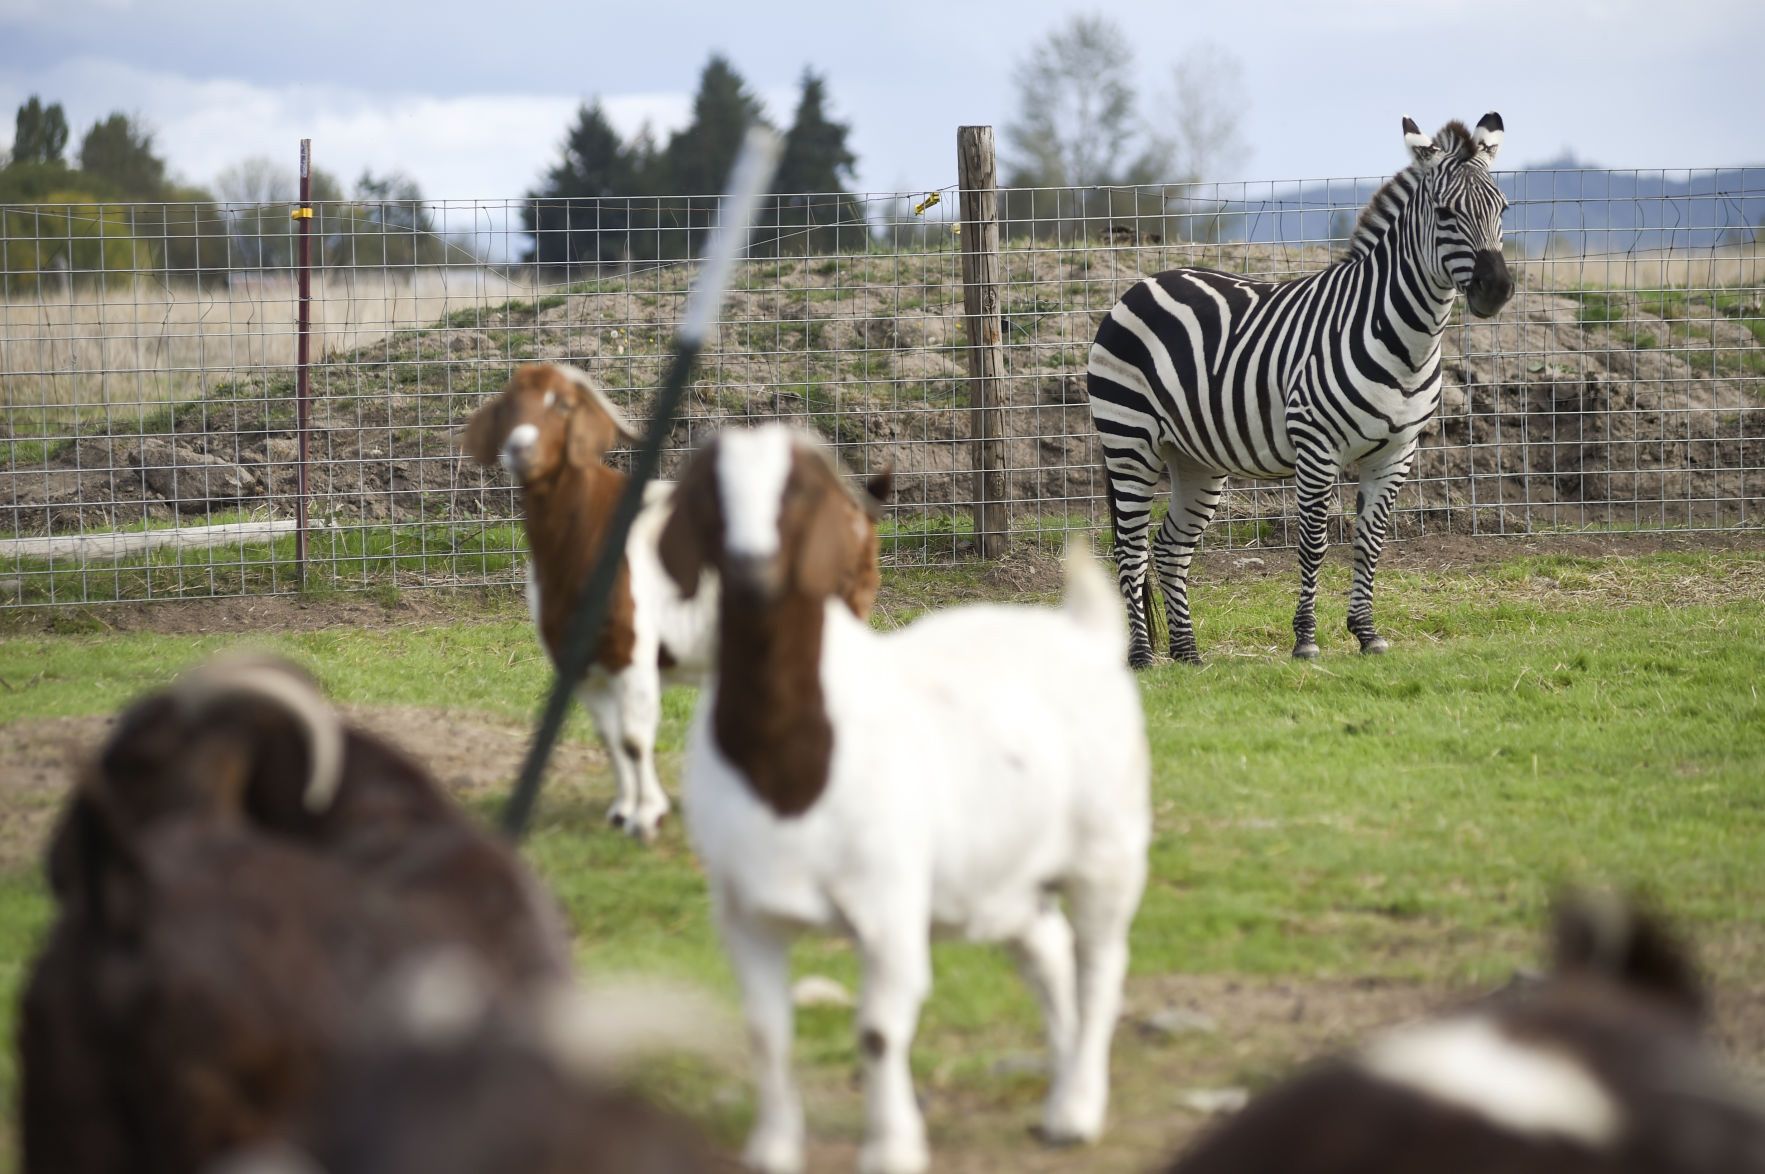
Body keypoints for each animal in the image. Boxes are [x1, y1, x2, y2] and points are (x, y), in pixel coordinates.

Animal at [462, 361, 889, 841]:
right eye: (507, 406)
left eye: (564, 404)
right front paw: (623, 811)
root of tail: (856, 507)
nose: (519, 449)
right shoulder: (581, 665)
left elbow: (634, 738)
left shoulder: (633, 651)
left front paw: (647, 816)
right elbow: (611, 739)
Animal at [658, 424, 1151, 1174]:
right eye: (709, 493)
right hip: (998, 872)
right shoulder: (746, 913)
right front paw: (772, 1148)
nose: (750, 568)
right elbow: (766, 1033)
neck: (788, 772)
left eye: (799, 491)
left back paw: (1076, 1109)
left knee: (1100, 966)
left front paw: (892, 1148)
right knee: (1047, 949)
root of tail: (1083, 634)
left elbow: (878, 1033)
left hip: (1108, 851)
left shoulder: (887, 907)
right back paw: (1060, 1082)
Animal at [1087, 113, 1514, 667]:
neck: (1404, 340)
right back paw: (1141, 656)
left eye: (1502, 209)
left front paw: (1367, 632)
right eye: (1444, 213)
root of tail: (1142, 285)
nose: (1496, 289)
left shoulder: (1396, 453)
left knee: (1170, 548)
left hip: (1195, 458)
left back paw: (1188, 655)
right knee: (1131, 550)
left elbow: (1371, 542)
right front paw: (1307, 640)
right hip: (1129, 441)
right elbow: (1314, 543)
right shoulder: (1317, 447)